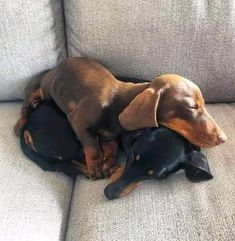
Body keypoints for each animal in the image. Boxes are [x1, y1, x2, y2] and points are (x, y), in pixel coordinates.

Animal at [14, 57, 226, 179]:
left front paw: (108, 161)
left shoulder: (110, 136)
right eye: (192, 107)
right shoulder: (79, 121)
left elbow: (110, 146)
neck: (118, 104)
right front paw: (96, 166)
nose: (223, 138)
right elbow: (92, 147)